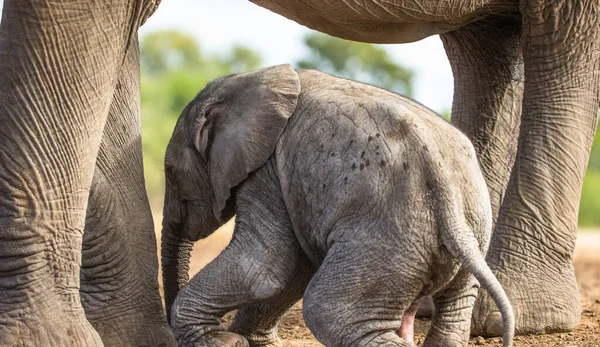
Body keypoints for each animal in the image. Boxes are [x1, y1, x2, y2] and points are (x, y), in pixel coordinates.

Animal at [162, 65, 512, 347]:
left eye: (170, 171)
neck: (249, 80)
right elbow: (292, 272)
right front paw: (242, 341)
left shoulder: (268, 168)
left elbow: (263, 266)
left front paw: (218, 342)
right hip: (468, 233)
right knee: (453, 313)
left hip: (387, 239)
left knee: (329, 310)